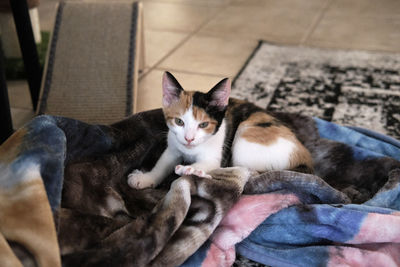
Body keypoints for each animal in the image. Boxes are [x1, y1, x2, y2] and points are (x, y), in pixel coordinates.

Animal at [128, 71, 312, 188]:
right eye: (179, 122)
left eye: (203, 125)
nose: (189, 139)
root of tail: (305, 159)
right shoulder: (173, 147)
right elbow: (162, 164)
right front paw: (146, 179)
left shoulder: (215, 155)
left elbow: (211, 163)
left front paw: (193, 169)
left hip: (244, 137)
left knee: (242, 169)